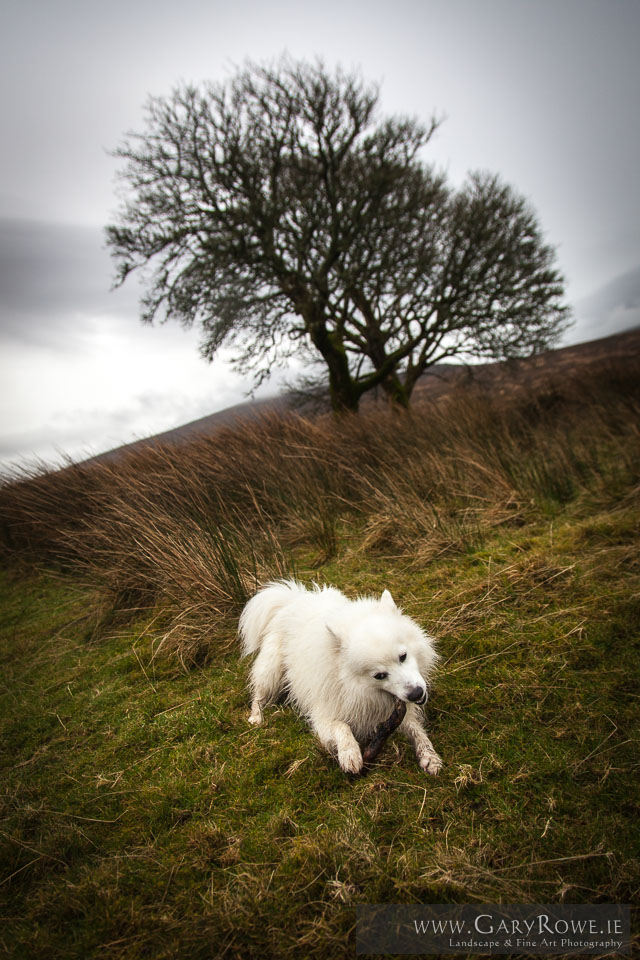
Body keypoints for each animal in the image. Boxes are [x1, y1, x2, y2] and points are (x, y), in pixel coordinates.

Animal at [238, 580, 442, 776]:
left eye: (403, 656)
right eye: (379, 675)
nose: (416, 694)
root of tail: (293, 599)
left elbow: (417, 731)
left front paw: (429, 756)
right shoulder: (325, 714)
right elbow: (341, 726)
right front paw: (349, 753)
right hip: (271, 671)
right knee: (258, 695)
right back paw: (256, 717)